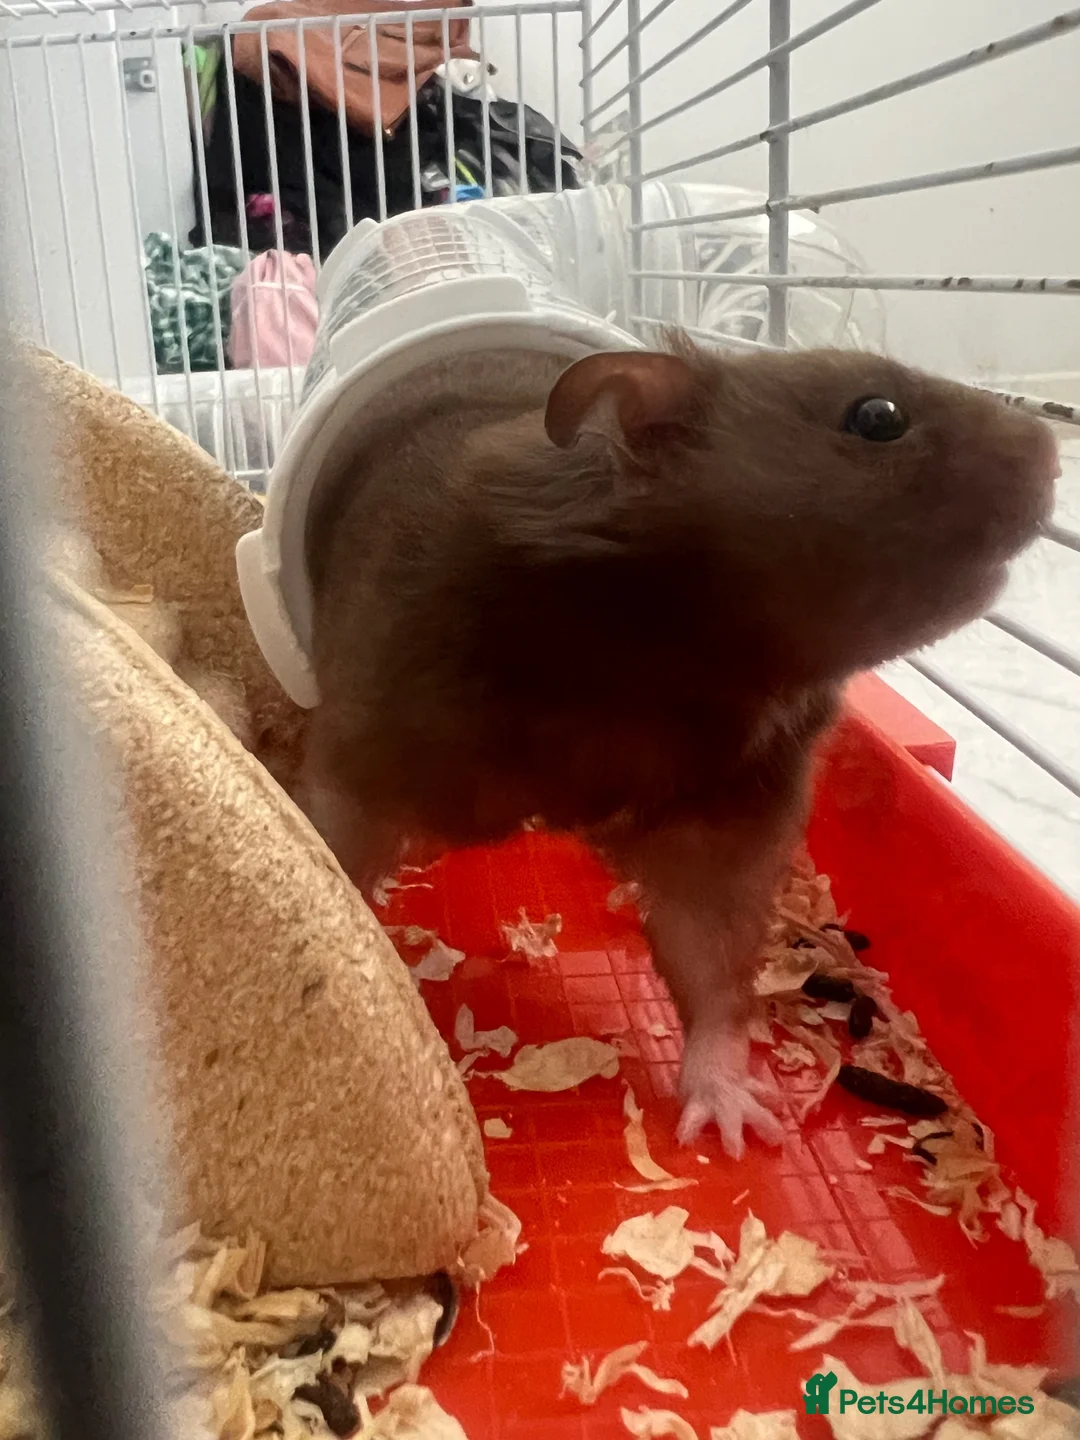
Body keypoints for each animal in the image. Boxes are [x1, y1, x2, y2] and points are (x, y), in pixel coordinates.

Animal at [301, 338, 1058, 1158]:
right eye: (877, 416)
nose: (1054, 454)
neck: (667, 648)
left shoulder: (724, 822)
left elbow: (711, 968)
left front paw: (738, 1126)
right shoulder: (371, 756)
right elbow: (335, 856)